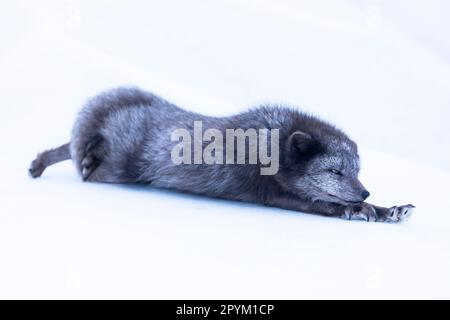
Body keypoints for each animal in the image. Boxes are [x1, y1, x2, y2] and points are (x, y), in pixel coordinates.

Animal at [29, 87, 414, 222]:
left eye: (357, 169)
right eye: (336, 171)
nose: (363, 191)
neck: (270, 143)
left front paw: (389, 209)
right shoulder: (267, 192)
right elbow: (321, 204)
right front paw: (359, 209)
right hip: (119, 167)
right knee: (81, 157)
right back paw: (80, 160)